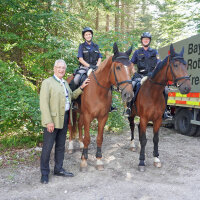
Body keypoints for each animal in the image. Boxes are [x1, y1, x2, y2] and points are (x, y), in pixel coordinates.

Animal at [68, 42, 134, 170]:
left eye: (131, 68)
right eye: (118, 67)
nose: (128, 94)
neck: (98, 91)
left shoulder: (103, 117)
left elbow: (99, 138)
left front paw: (99, 160)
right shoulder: (88, 116)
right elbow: (88, 138)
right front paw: (84, 160)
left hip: (81, 112)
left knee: (78, 124)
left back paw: (80, 143)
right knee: (70, 125)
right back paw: (70, 146)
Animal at [129, 44, 191, 172]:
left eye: (186, 65)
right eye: (175, 65)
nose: (187, 88)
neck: (153, 93)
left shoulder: (157, 120)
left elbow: (155, 139)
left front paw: (156, 159)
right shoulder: (144, 118)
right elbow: (144, 139)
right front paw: (141, 162)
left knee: (138, 128)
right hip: (132, 114)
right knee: (132, 126)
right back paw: (132, 144)